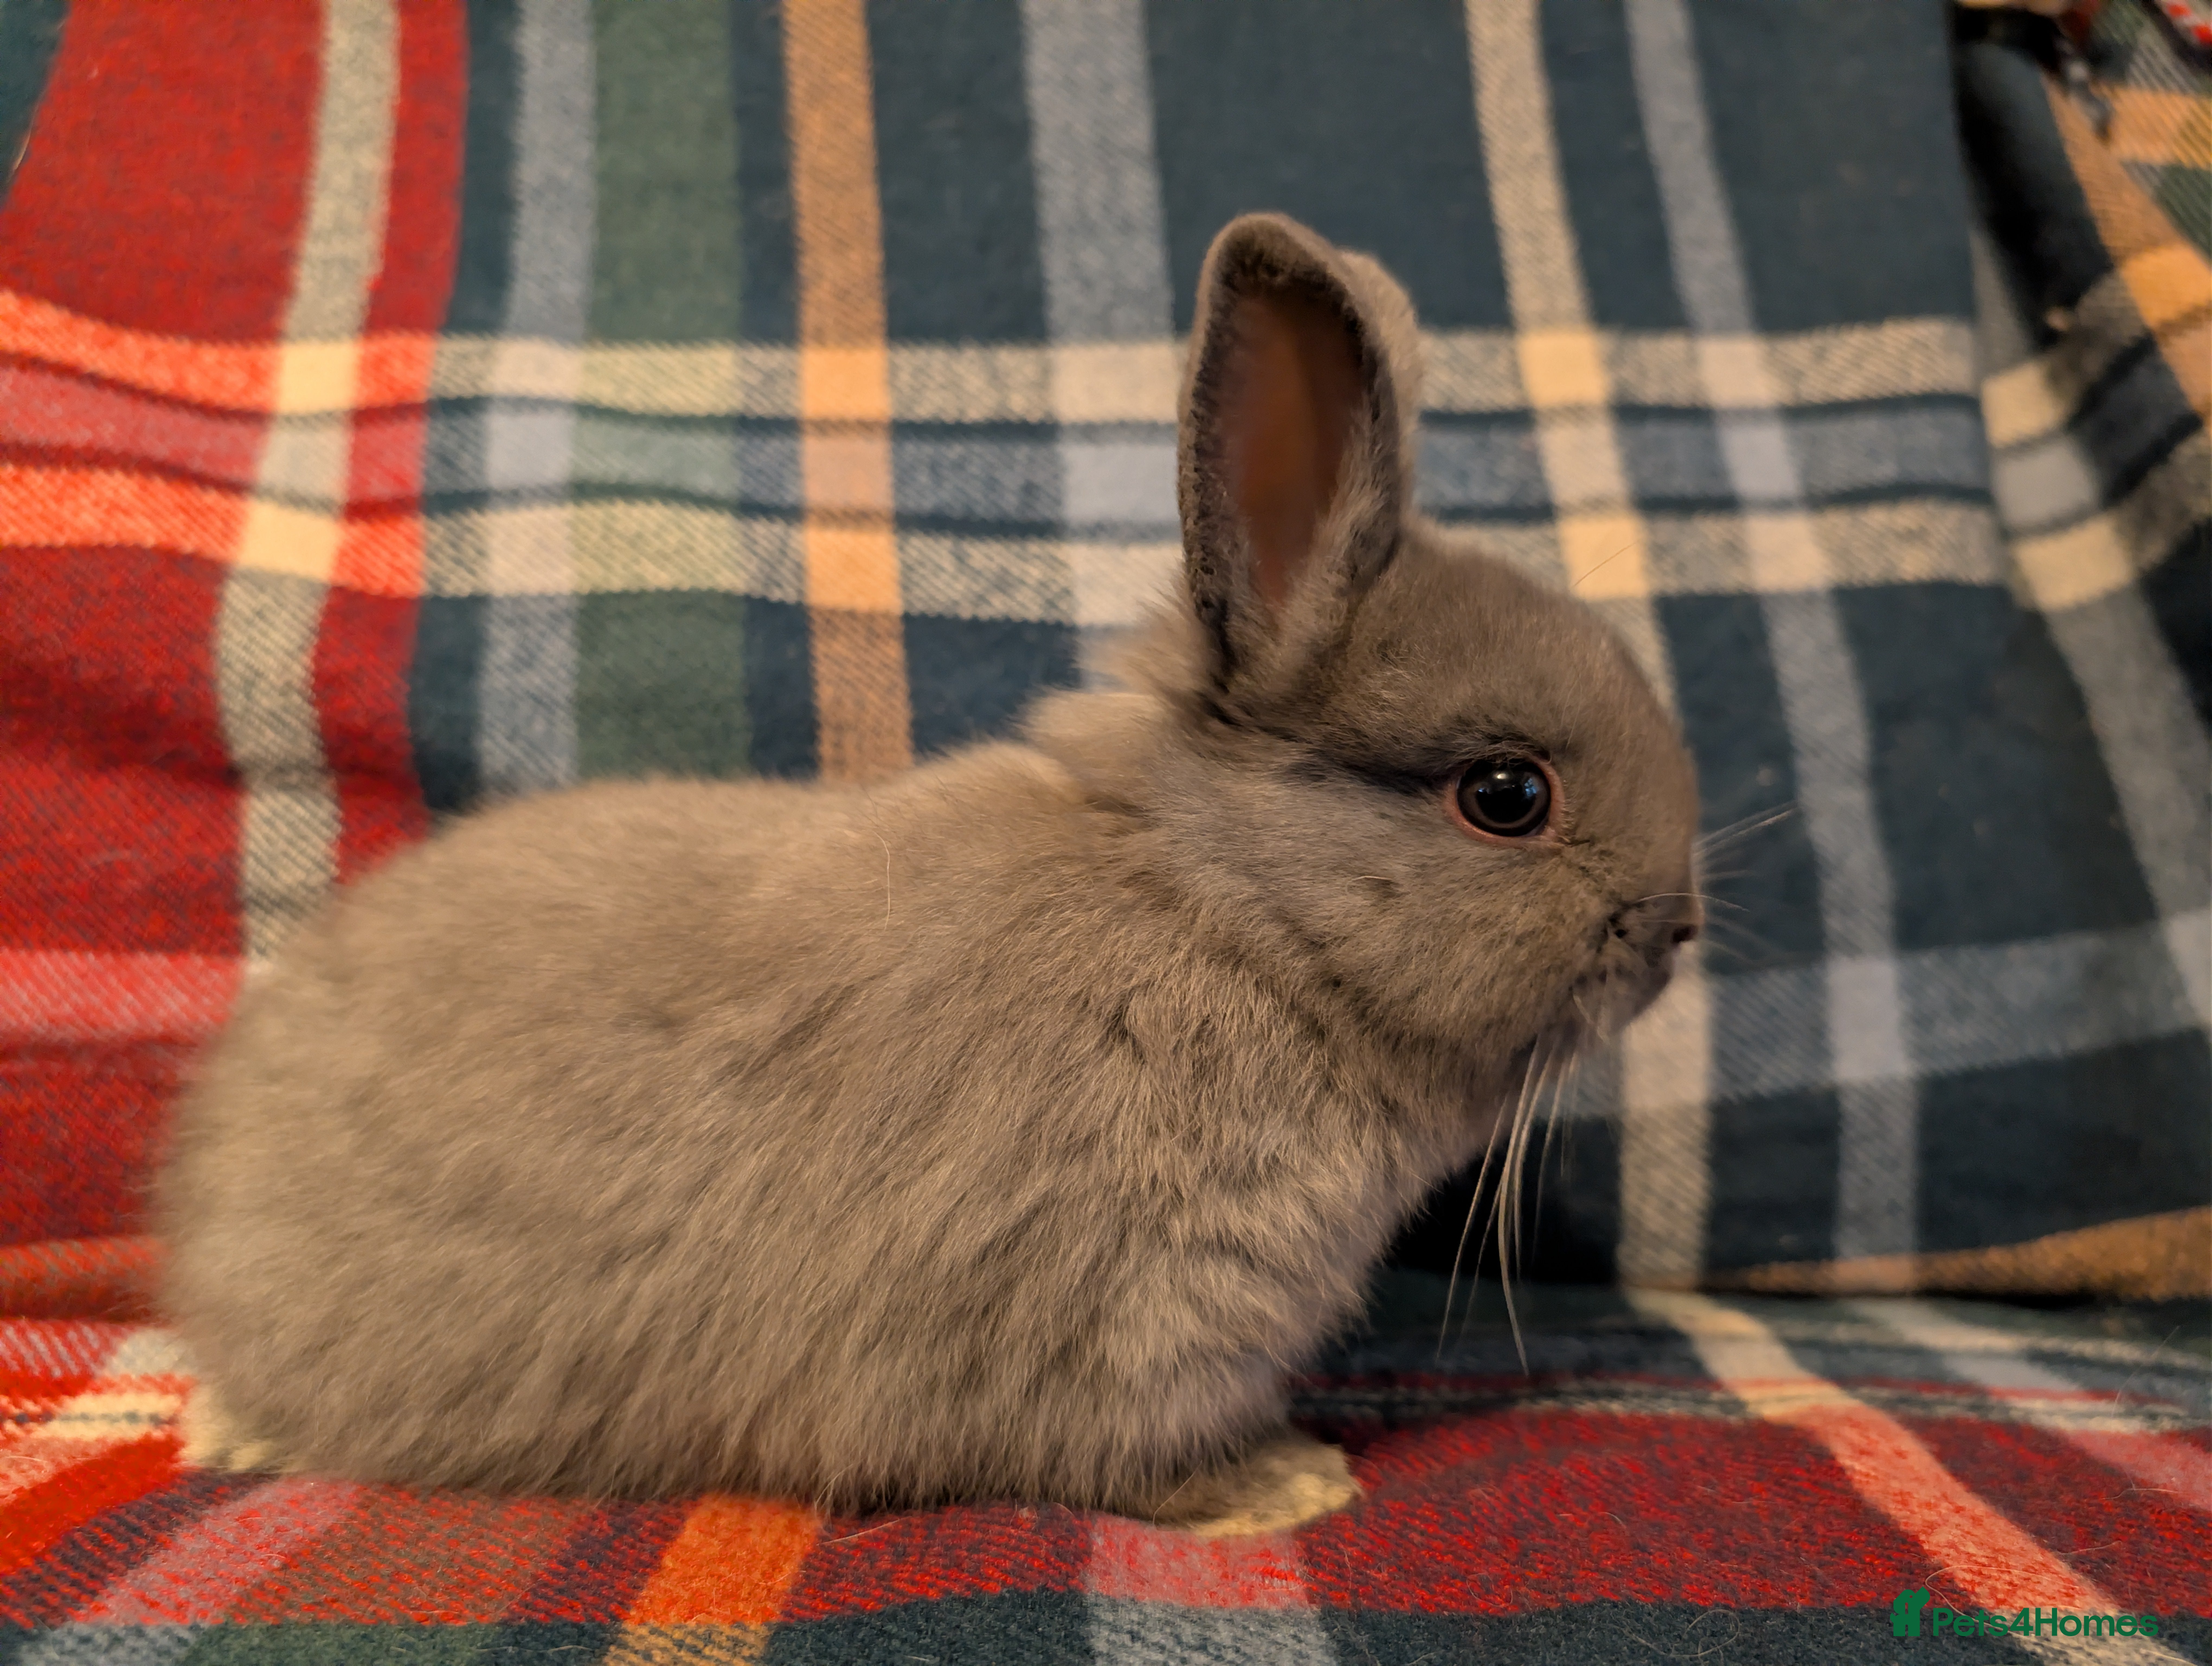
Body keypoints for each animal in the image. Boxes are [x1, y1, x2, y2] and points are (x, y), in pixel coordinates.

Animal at [158, 212, 1700, 1537]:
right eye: (1506, 796)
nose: (1675, 929)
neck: (1234, 919)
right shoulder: (1107, 1324)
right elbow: (1128, 1460)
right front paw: (1286, 1484)